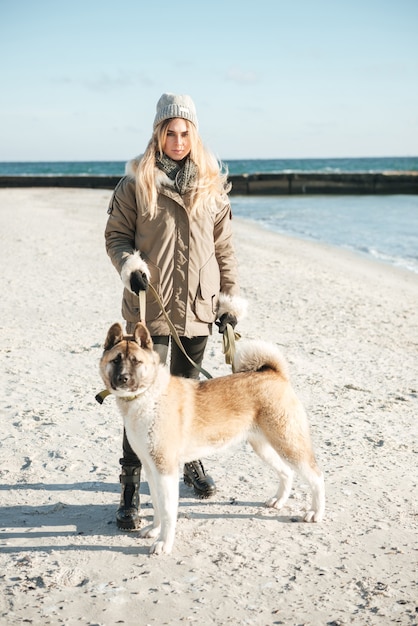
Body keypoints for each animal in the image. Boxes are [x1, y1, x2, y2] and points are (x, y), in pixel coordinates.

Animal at [99, 322, 324, 552]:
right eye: (116, 360)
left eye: (136, 361)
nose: (123, 378)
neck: (148, 396)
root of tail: (275, 374)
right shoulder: (152, 469)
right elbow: (157, 504)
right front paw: (154, 530)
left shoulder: (165, 470)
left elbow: (168, 511)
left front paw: (164, 542)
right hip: (264, 446)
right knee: (287, 472)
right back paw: (278, 500)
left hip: (288, 443)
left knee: (317, 476)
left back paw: (316, 512)